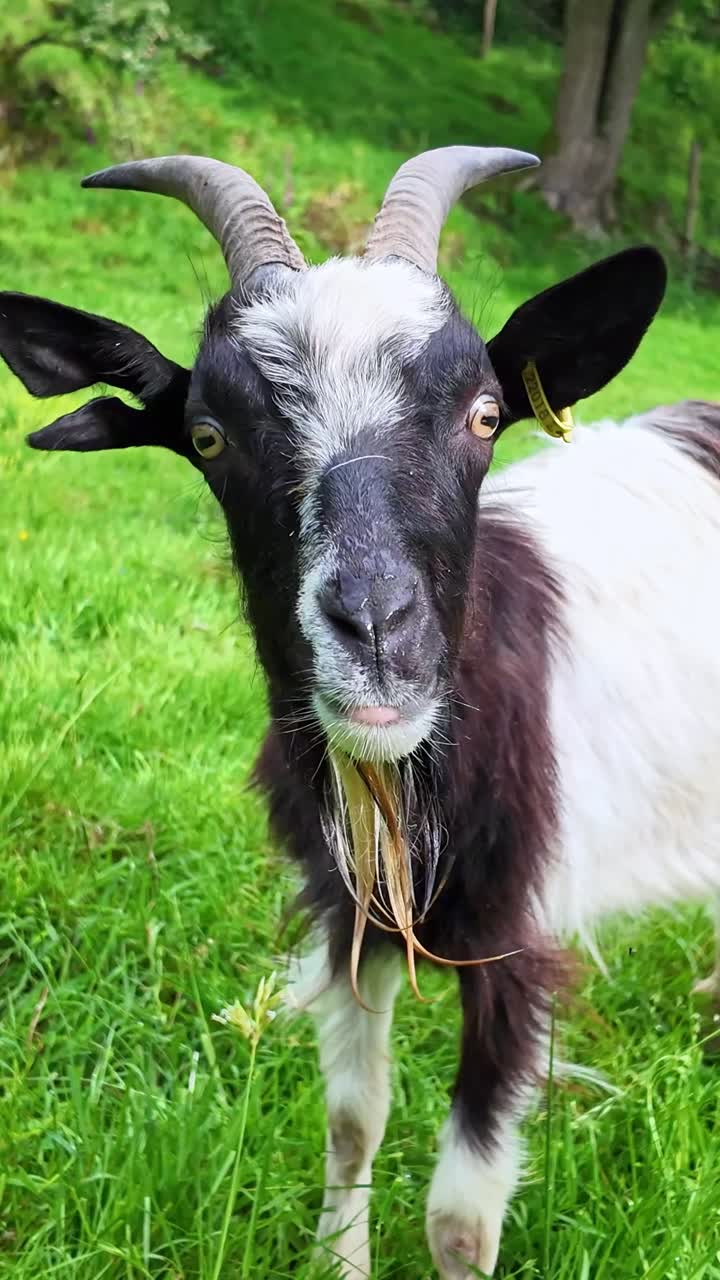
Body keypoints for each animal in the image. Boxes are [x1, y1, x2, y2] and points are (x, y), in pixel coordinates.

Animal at [2, 146, 719, 1280]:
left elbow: (461, 1219)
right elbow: (352, 1118)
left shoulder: (515, 941)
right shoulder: (347, 910)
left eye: (483, 415)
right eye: (208, 434)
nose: (377, 631)